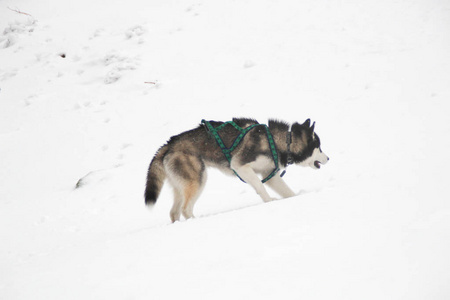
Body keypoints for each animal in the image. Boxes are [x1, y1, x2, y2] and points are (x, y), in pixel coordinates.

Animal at [146, 118, 328, 221]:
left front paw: (295, 198)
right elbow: (259, 186)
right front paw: (269, 201)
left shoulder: (270, 174)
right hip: (198, 180)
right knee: (185, 209)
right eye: (319, 147)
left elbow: (287, 192)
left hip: (181, 185)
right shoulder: (240, 166)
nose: (328, 158)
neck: (281, 141)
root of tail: (169, 144)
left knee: (174, 212)